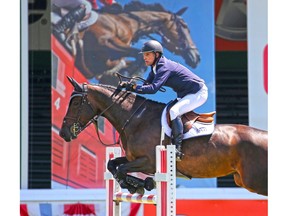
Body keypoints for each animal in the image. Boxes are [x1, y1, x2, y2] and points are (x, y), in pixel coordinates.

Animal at [59, 77, 268, 197]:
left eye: (76, 102)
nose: (63, 133)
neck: (136, 119)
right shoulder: (134, 158)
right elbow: (113, 165)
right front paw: (136, 186)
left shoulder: (149, 162)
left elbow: (122, 169)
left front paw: (142, 184)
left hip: (255, 181)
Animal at [70, 2, 200, 86]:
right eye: (184, 26)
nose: (197, 57)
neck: (126, 23)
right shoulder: (103, 42)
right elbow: (138, 57)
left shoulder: (108, 61)